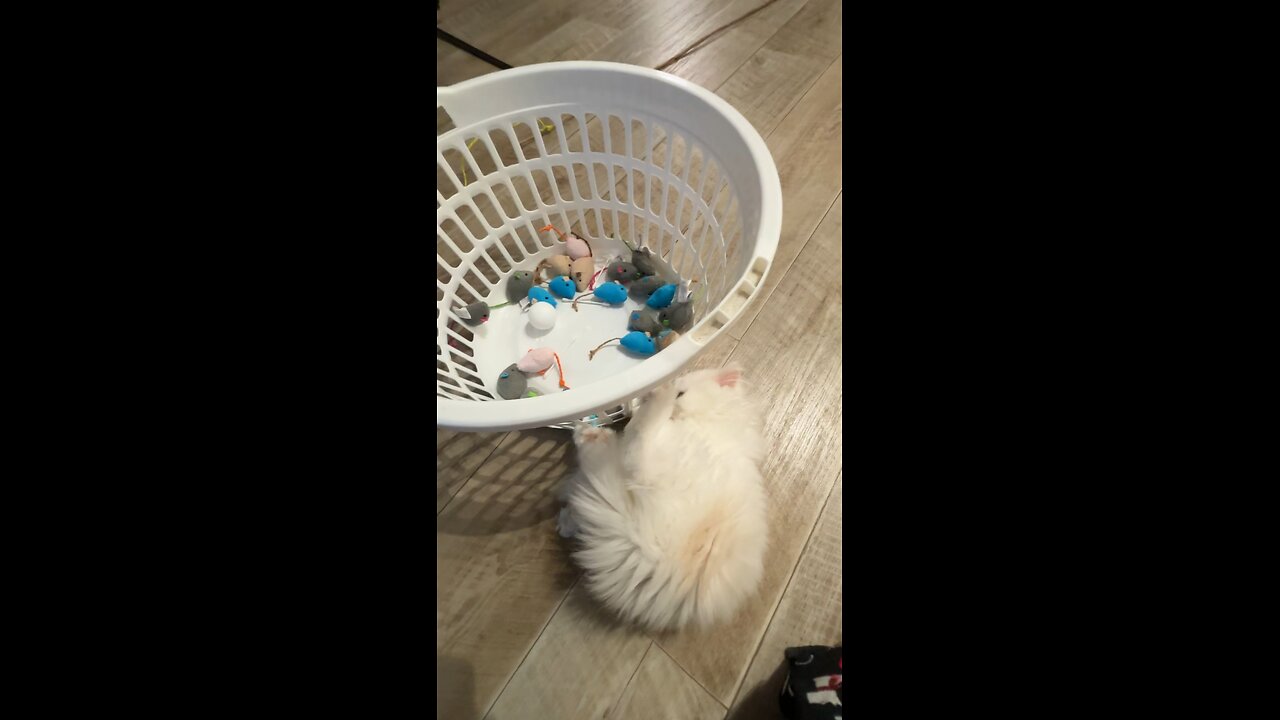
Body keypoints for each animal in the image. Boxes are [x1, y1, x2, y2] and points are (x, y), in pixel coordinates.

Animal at [555, 363, 762, 627]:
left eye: (681, 394)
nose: (644, 397)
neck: (713, 421)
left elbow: (638, 431)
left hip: (651, 471)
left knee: (627, 450)